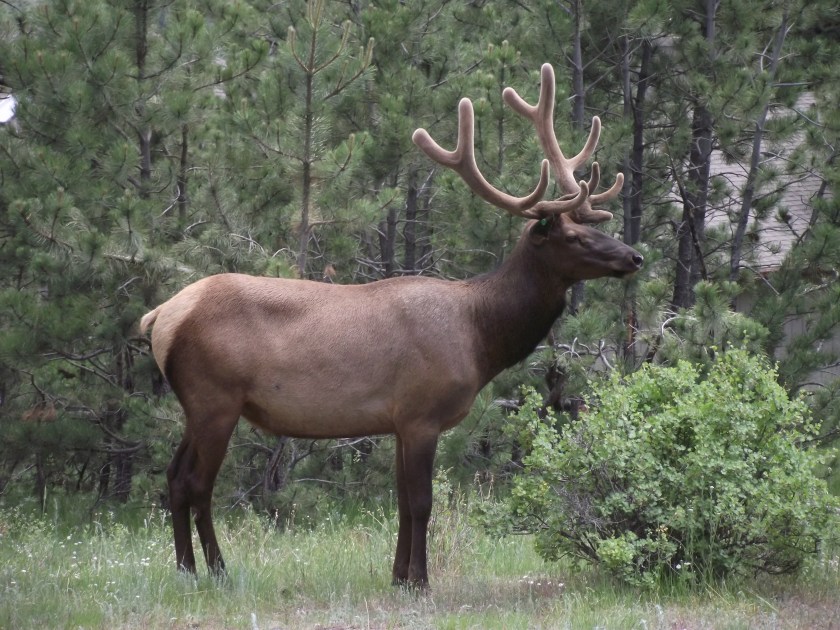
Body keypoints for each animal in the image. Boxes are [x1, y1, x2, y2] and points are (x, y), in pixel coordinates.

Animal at [139, 63, 643, 589]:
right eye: (573, 236)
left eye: (593, 225)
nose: (634, 257)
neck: (480, 338)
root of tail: (159, 317)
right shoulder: (422, 412)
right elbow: (421, 503)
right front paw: (421, 581)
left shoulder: (399, 420)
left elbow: (401, 503)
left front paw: (399, 576)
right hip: (215, 397)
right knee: (197, 483)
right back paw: (216, 570)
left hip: (197, 404)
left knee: (173, 477)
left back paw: (185, 569)